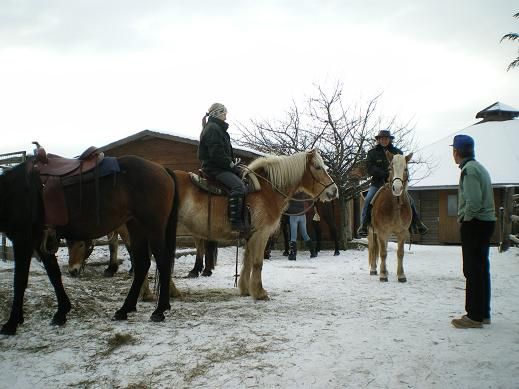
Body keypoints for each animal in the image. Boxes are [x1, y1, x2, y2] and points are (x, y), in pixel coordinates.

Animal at [0, 152, 179, 334]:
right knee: (142, 264)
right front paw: (61, 313)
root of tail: (162, 169)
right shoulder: (40, 242)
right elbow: (54, 274)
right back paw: (124, 310)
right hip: (136, 227)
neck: (15, 190)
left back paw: (159, 310)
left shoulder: (22, 240)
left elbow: (20, 280)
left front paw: (11, 323)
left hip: (153, 229)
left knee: (163, 263)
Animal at [173, 150, 340, 298]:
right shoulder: (262, 233)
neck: (267, 189)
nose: (334, 191)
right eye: (317, 167)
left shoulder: (250, 235)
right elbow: (258, 262)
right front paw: (259, 292)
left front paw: (246, 289)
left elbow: (247, 261)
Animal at [370, 152, 414, 282]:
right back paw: (374, 269)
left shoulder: (402, 232)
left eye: (405, 169)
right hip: (372, 232)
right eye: (390, 168)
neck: (395, 206)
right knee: (374, 248)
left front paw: (401, 275)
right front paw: (383, 275)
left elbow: (400, 253)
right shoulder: (382, 232)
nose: (397, 188)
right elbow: (383, 253)